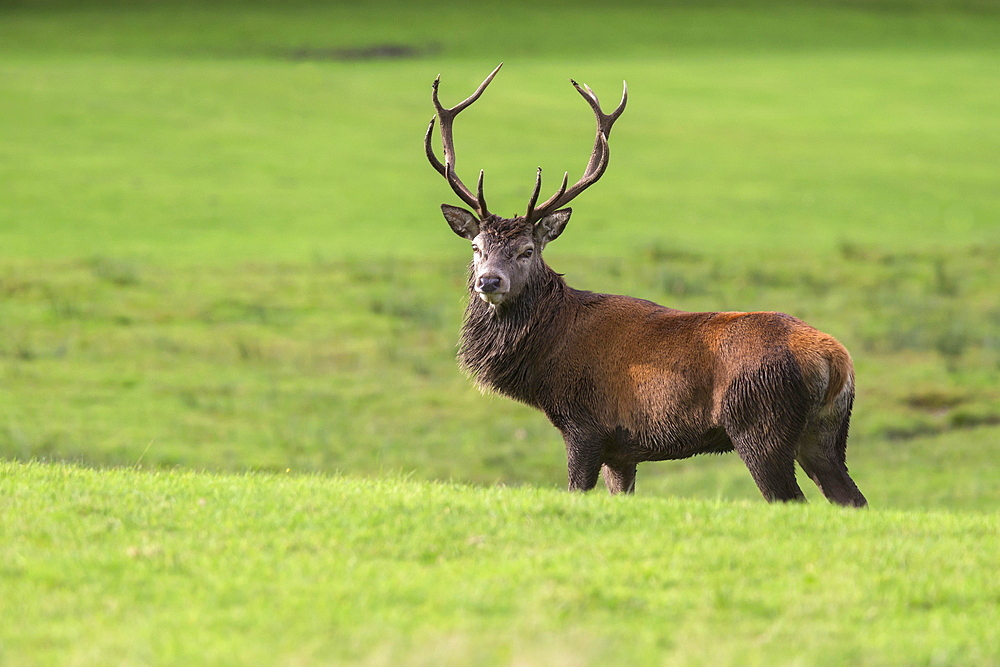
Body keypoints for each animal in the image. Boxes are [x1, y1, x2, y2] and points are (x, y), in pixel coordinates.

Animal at [422, 65, 868, 508]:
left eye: (527, 250)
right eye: (476, 247)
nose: (489, 280)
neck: (548, 358)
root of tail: (836, 360)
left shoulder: (585, 425)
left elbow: (576, 489)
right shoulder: (622, 450)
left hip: (760, 423)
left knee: (790, 497)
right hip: (824, 433)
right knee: (851, 497)